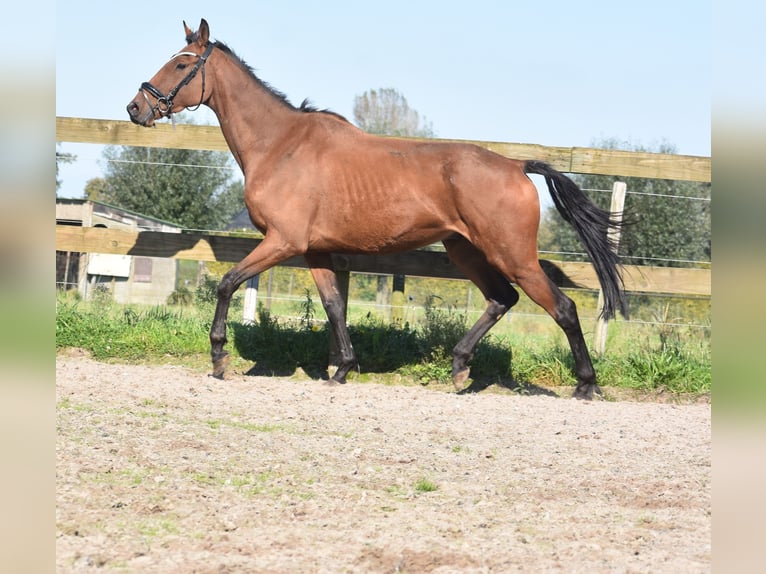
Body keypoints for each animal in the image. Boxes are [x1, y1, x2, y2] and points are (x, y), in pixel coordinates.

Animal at [127, 19, 632, 400]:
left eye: (181, 63)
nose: (135, 107)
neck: (280, 145)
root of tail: (515, 165)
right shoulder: (314, 251)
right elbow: (333, 306)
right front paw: (343, 369)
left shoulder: (283, 241)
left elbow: (228, 283)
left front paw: (219, 357)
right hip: (465, 250)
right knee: (501, 299)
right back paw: (459, 368)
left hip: (513, 255)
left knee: (562, 307)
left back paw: (585, 386)